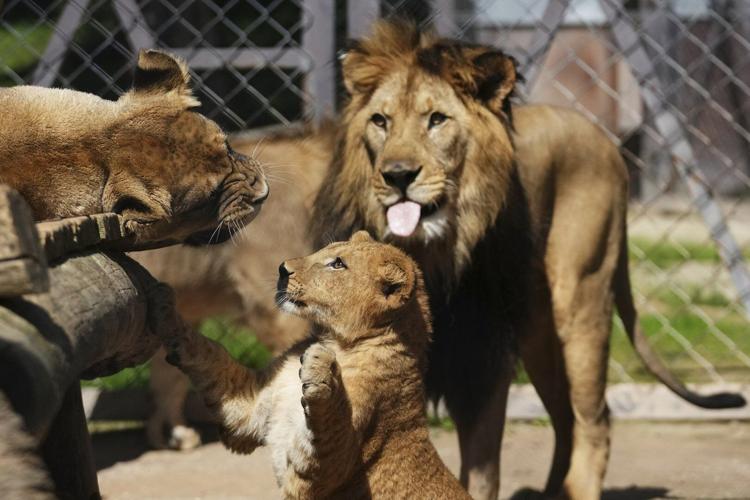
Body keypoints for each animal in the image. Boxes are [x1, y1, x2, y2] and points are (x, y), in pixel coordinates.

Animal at [152, 231, 470, 499]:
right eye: (327, 251)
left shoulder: (326, 472)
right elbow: (210, 354)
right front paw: (167, 310)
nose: (282, 269)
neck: (333, 338)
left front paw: (320, 368)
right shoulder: (251, 409)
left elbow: (333, 426)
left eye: (338, 264)